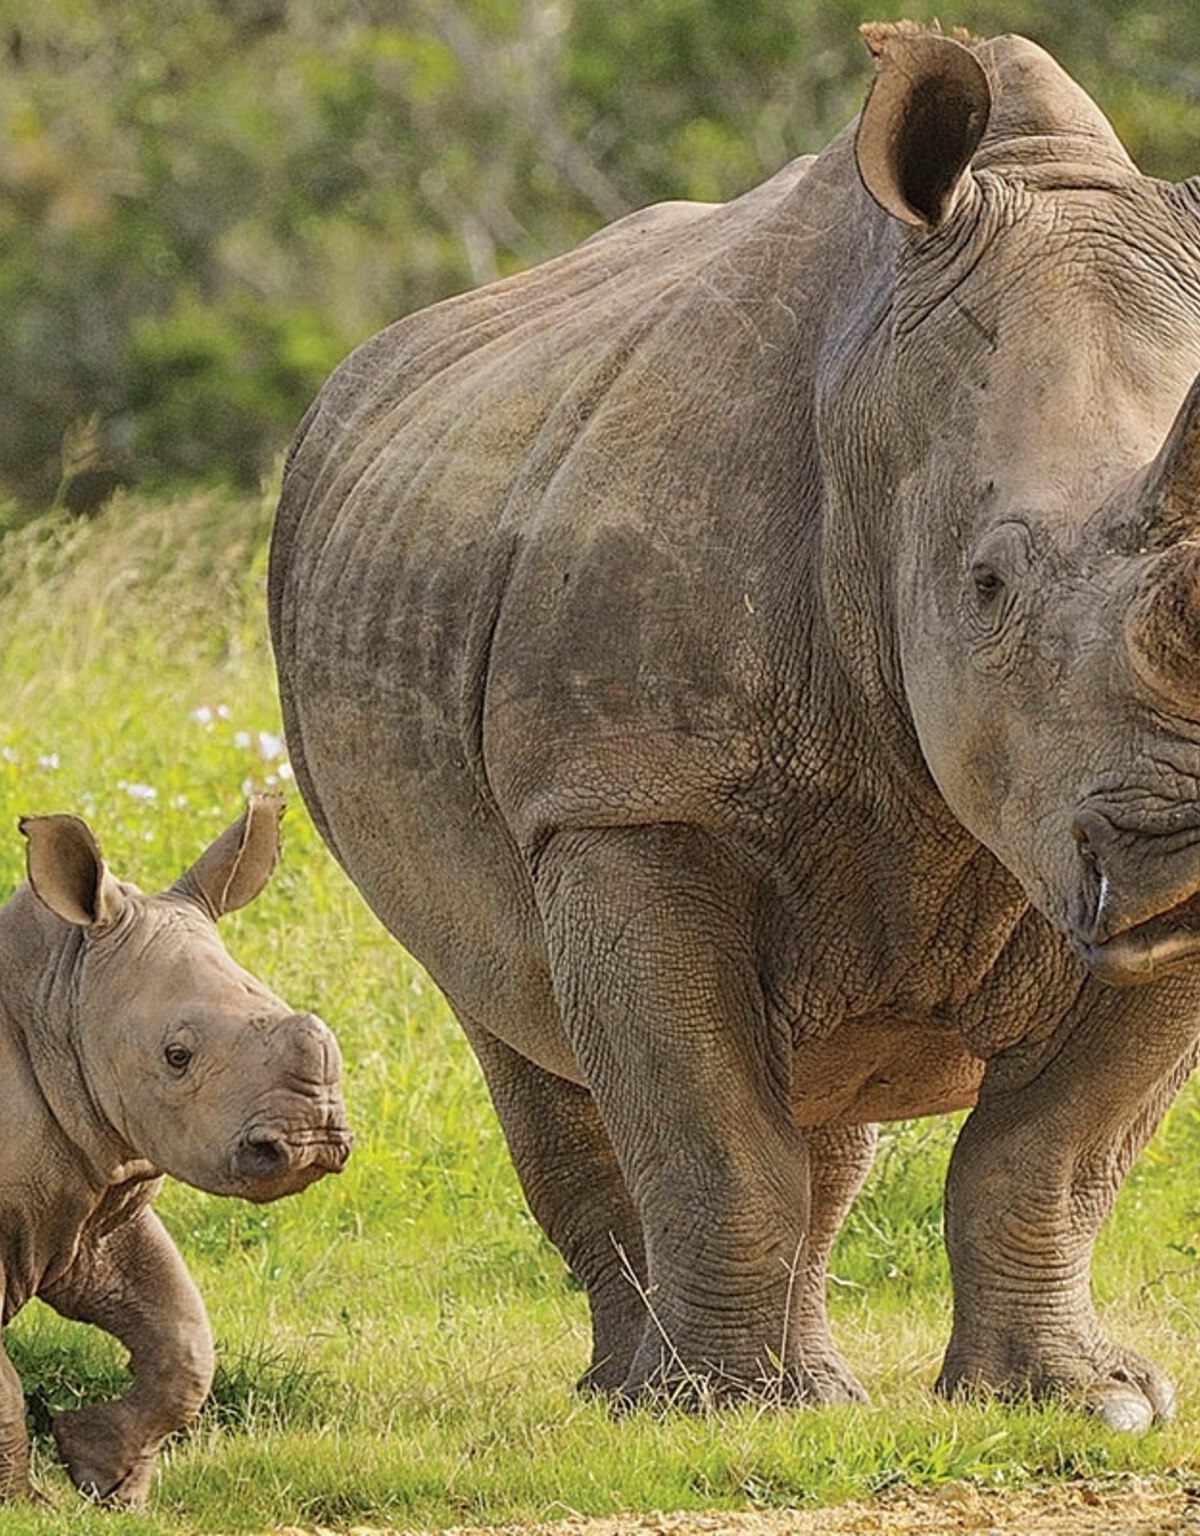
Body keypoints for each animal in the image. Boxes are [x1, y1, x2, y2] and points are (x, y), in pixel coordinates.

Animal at [0, 796, 351, 1505]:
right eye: (177, 1056)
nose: (314, 1142)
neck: (58, 998)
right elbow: (0, 1387)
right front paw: (23, 1505)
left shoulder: (94, 1183)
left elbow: (183, 1338)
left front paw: (106, 1479)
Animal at [270, 24, 1200, 1430]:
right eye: (987, 584)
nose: (1178, 849)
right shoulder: (624, 795)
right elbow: (709, 1132)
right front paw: (712, 1413)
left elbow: (1053, 1153)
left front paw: (1078, 1402)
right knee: (519, 1028)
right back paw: (642, 1395)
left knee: (821, 1097)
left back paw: (797, 1388)